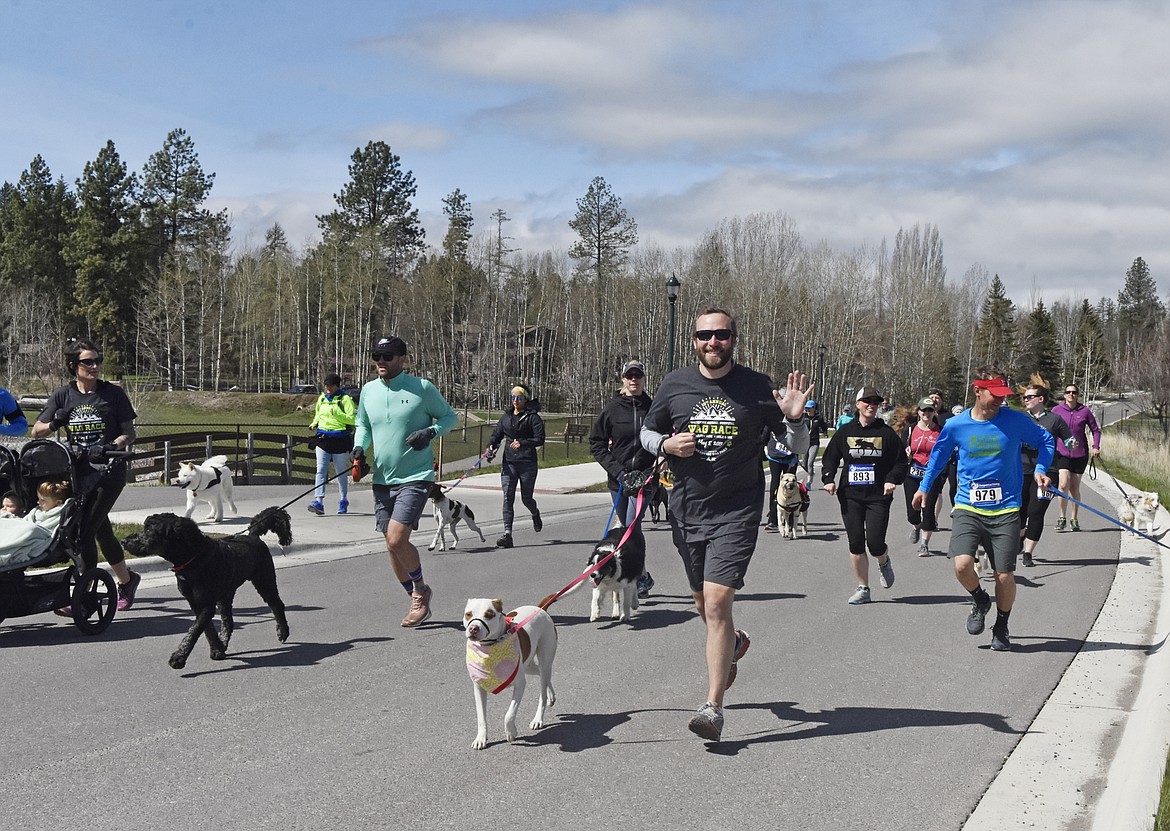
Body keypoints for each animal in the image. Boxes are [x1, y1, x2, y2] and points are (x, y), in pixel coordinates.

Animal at [463, 594, 554, 753]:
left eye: (489, 614)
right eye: (468, 614)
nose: (473, 628)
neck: (490, 647)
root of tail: (540, 608)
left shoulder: (520, 684)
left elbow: (509, 714)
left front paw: (511, 732)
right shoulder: (479, 688)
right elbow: (481, 717)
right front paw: (481, 738)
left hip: (545, 658)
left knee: (542, 689)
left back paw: (538, 718)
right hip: (529, 665)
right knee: (541, 673)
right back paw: (551, 695)